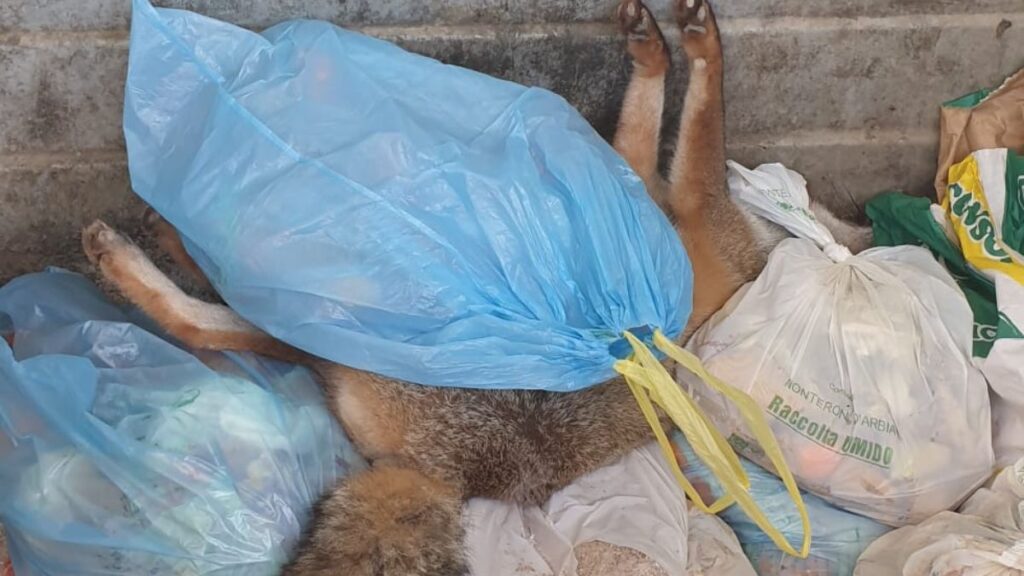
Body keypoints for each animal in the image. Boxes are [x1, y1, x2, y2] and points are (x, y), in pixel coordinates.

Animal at [80, 0, 870, 574]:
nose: (845, 227)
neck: (746, 271)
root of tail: (450, 477)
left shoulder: (690, 205)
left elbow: (691, 127)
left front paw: (692, 48)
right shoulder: (650, 198)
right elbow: (644, 136)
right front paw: (657, 49)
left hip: (349, 340)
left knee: (212, 317)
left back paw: (142, 247)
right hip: (340, 351)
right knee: (227, 317)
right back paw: (169, 231)